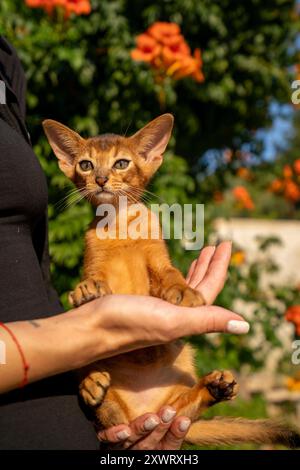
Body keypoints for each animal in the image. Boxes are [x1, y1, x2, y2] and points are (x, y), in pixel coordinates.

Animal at [42, 114, 300, 448]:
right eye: (86, 165)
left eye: (121, 163)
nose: (99, 179)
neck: (120, 227)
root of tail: (144, 412)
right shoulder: (93, 262)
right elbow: (93, 277)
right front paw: (87, 291)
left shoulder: (157, 259)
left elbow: (170, 275)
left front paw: (182, 291)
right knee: (110, 415)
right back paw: (93, 386)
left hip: (182, 371)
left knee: (183, 409)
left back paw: (214, 387)